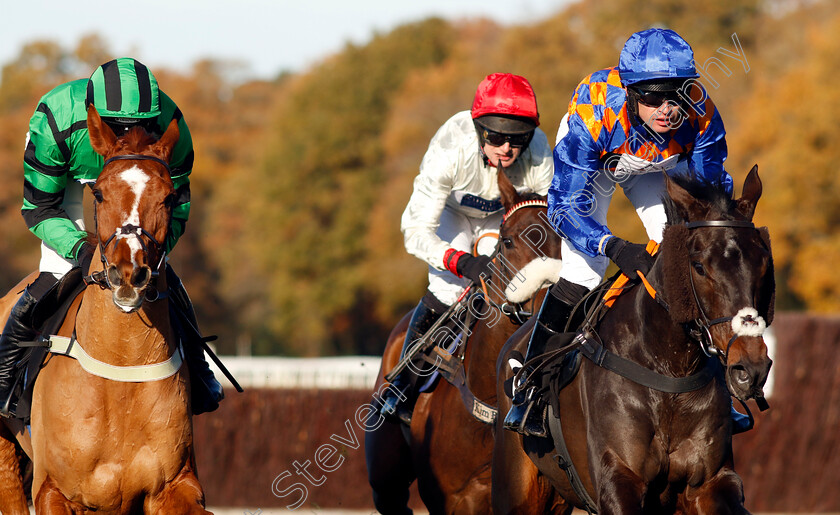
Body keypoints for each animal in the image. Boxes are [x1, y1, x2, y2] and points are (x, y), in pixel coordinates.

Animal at [0, 107, 212, 512]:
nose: (129, 273)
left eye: (169, 197)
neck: (121, 368)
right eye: (98, 193)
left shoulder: (175, 485)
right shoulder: (54, 491)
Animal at [492, 167, 776, 512]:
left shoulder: (711, 482)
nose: (750, 368)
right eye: (699, 267)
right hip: (517, 488)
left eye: (763, 264)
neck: (669, 370)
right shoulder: (619, 479)